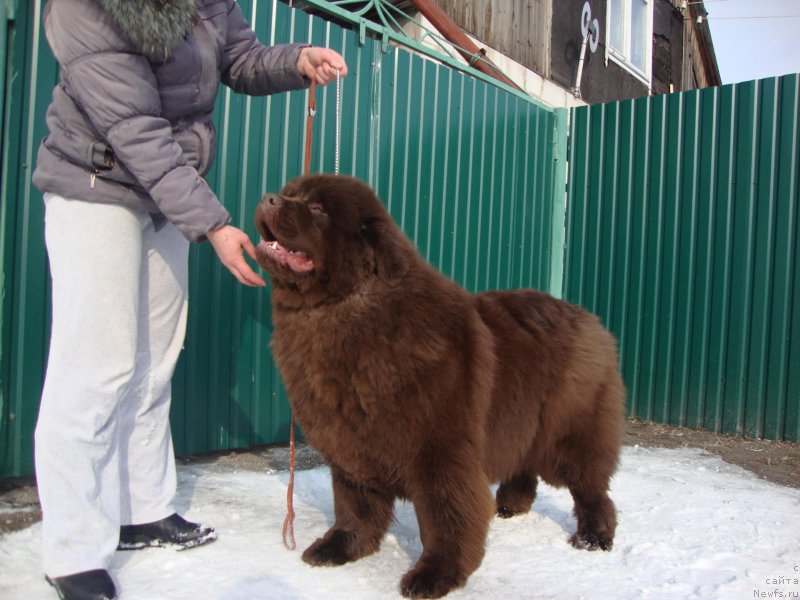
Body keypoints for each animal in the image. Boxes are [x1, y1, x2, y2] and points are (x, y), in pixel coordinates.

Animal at [255, 173, 624, 596]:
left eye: (317, 209)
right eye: (290, 194)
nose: (268, 198)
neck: (336, 313)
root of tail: (588, 317)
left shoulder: (440, 452)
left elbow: (446, 516)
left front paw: (436, 575)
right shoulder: (352, 447)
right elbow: (354, 507)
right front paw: (340, 548)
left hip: (571, 433)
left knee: (591, 488)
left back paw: (594, 537)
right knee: (523, 466)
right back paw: (510, 505)